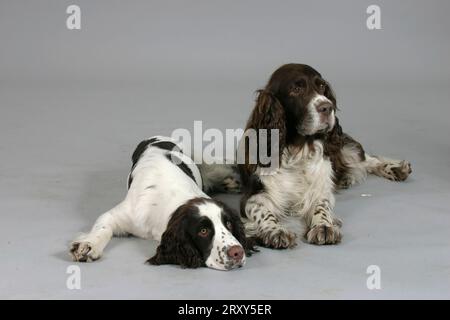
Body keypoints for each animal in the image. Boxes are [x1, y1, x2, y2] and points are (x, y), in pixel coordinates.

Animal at [239, 63, 412, 249]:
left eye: (321, 86)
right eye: (296, 89)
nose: (328, 107)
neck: (298, 151)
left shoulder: (319, 187)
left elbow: (321, 205)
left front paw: (323, 226)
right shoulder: (253, 195)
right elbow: (263, 211)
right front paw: (275, 231)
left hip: (342, 145)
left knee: (366, 159)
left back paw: (396, 168)